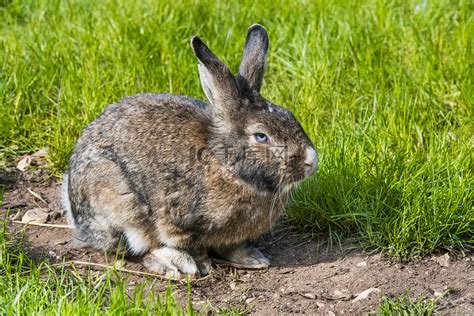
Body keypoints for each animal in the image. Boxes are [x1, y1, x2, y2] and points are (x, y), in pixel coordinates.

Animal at [61, 24, 316, 276]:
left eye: (289, 115)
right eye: (261, 136)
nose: (311, 161)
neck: (225, 165)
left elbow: (232, 247)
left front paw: (253, 259)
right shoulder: (179, 223)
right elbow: (191, 246)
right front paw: (202, 265)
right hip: (119, 203)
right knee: (137, 247)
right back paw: (176, 264)